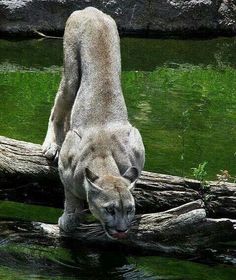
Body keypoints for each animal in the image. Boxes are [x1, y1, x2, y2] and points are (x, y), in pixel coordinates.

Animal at [42, 7, 146, 238]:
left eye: (130, 210)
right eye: (110, 210)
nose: (122, 230)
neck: (104, 156)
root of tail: (91, 10)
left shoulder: (136, 144)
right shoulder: (68, 161)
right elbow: (70, 195)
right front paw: (70, 218)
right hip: (71, 73)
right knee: (57, 108)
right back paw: (51, 145)